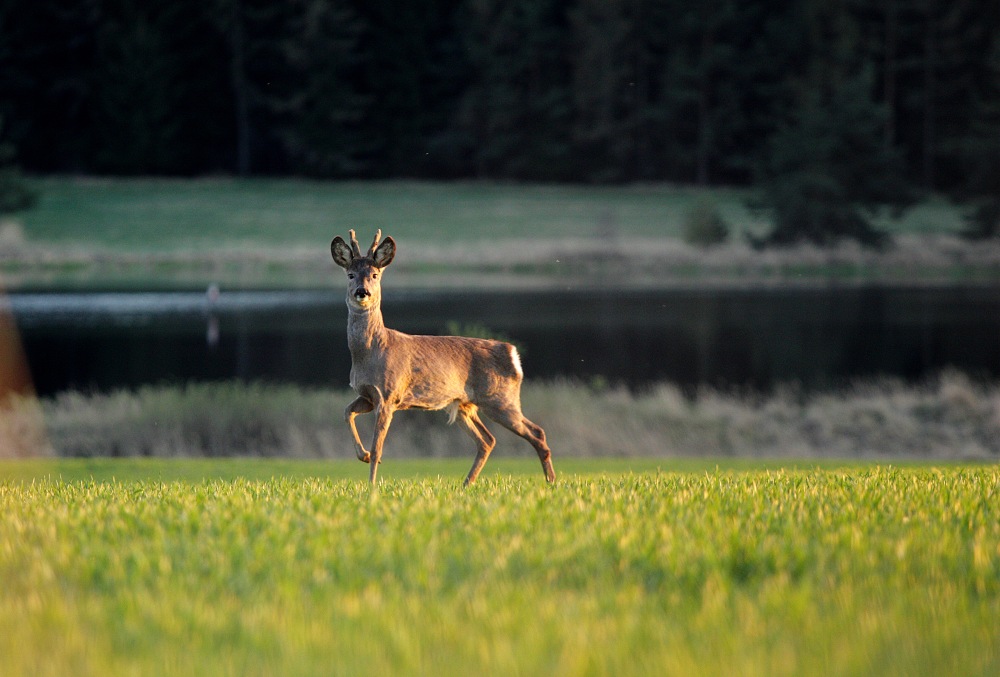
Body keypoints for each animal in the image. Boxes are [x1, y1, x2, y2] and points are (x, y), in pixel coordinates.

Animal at [334, 230, 556, 484]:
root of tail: (513, 354)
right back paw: (466, 484)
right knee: (487, 440)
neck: (370, 353)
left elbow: (378, 445)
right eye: (350, 274)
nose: (362, 292)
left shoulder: (389, 395)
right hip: (464, 405)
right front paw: (364, 455)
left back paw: (551, 482)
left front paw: (372, 483)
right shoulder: (368, 395)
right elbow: (347, 412)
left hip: (500, 399)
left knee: (536, 432)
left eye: (374, 274)